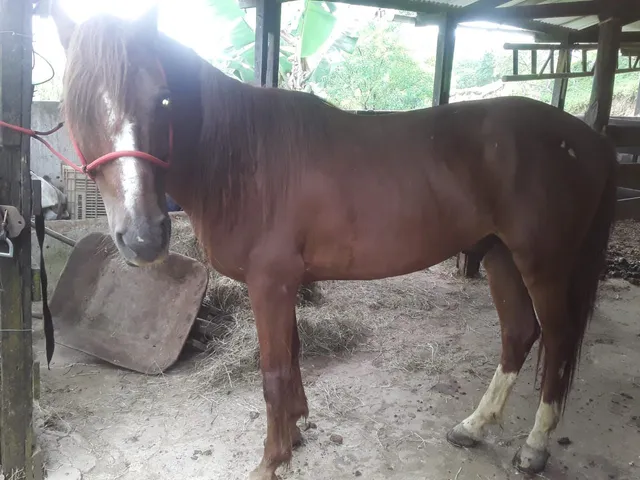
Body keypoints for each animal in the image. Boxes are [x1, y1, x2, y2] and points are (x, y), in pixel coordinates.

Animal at [50, 4, 618, 479]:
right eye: (76, 105)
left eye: (162, 99)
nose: (144, 237)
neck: (246, 161)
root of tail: (588, 138)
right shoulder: (285, 284)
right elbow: (294, 358)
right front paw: (297, 432)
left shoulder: (270, 284)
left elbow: (274, 372)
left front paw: (272, 459)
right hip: (501, 256)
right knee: (519, 334)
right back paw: (474, 427)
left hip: (543, 262)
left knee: (558, 338)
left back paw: (534, 447)